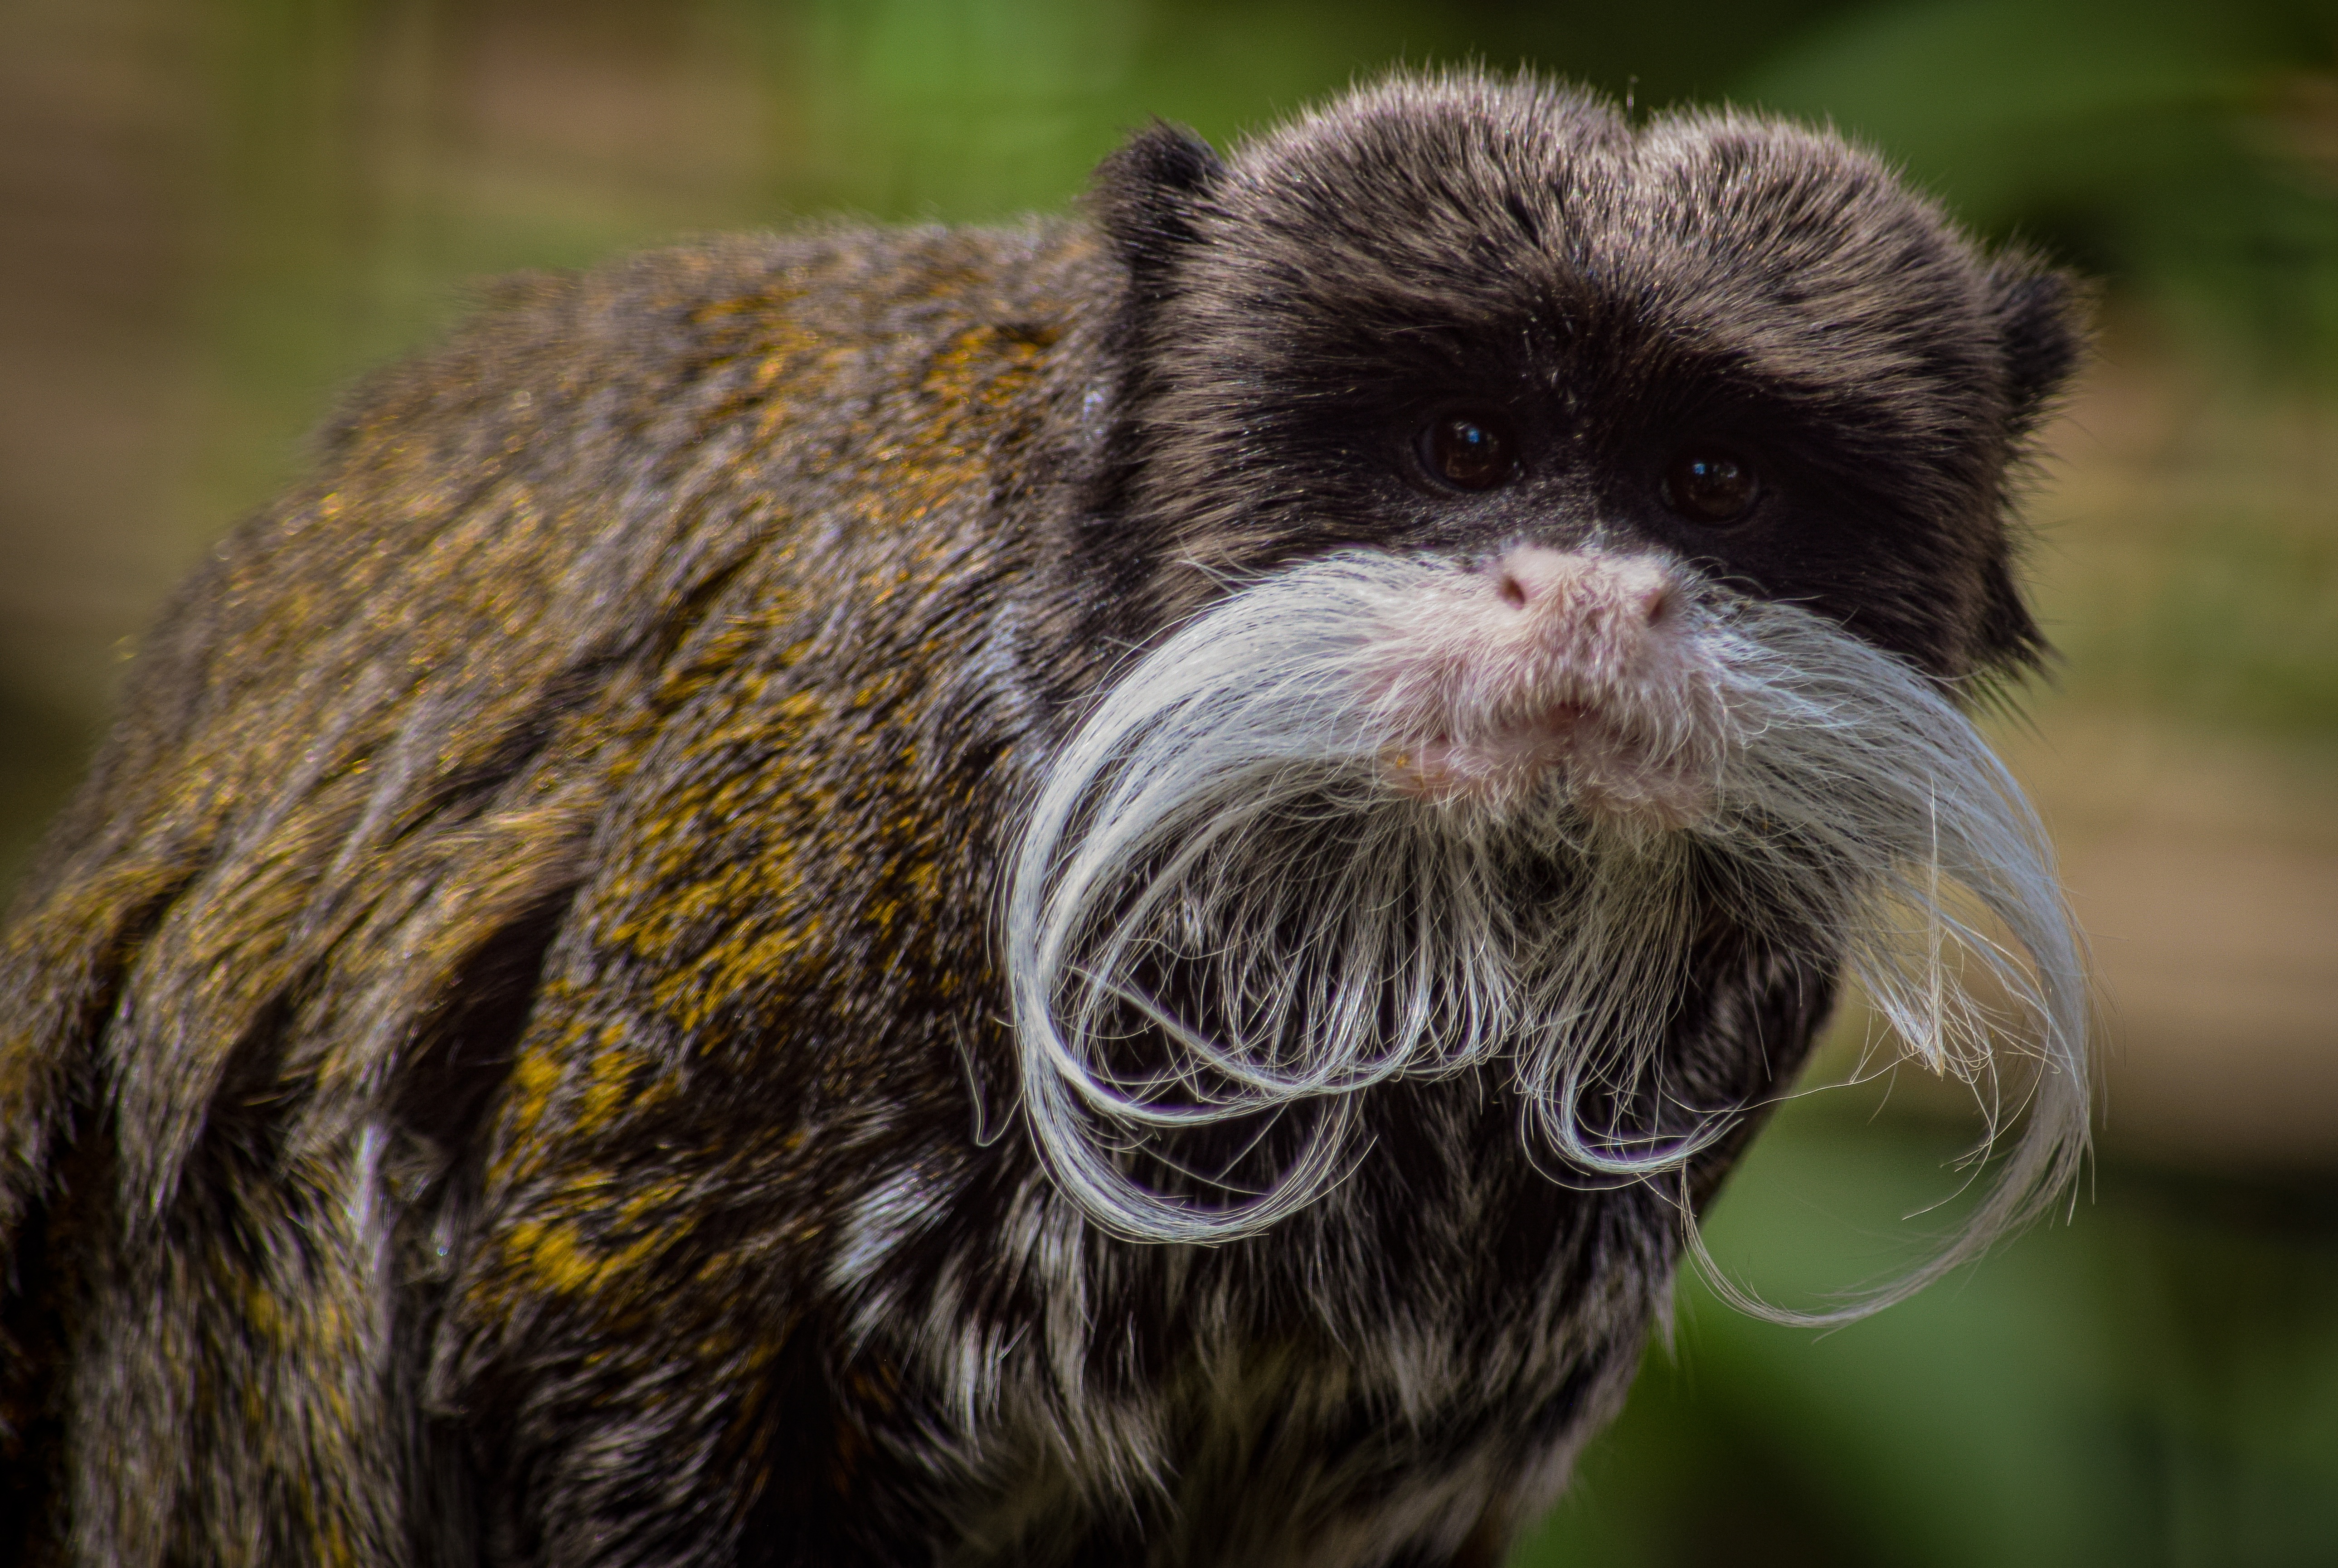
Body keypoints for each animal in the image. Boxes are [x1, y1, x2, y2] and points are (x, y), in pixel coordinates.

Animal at [0, 67, 2085, 1561]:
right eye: (1464, 448)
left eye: (1710, 483)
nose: (1587, 592)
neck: (1390, 948)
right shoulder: (829, 808)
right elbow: (596, 1360)